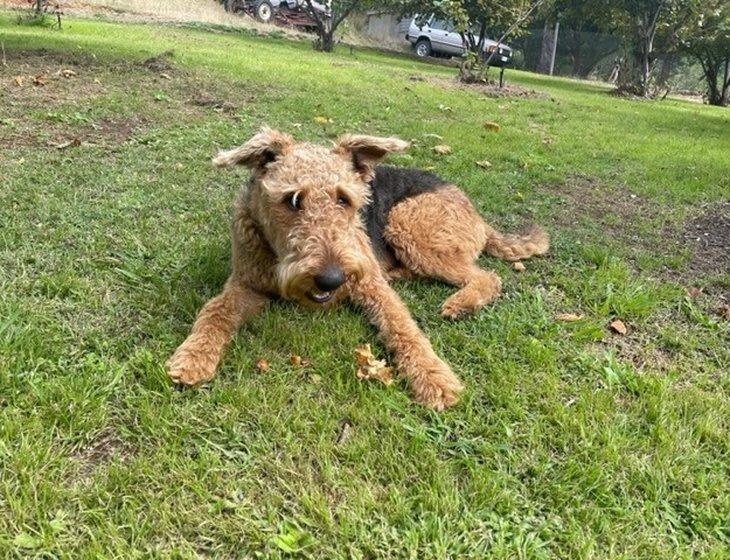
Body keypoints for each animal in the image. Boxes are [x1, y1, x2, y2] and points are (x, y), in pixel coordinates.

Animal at [168, 128, 544, 412]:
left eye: (344, 199)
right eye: (292, 199)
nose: (332, 279)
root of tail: (478, 215)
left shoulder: (370, 284)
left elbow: (403, 326)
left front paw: (435, 378)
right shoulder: (245, 284)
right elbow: (216, 310)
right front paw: (192, 357)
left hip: (408, 225)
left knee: (486, 276)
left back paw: (459, 304)